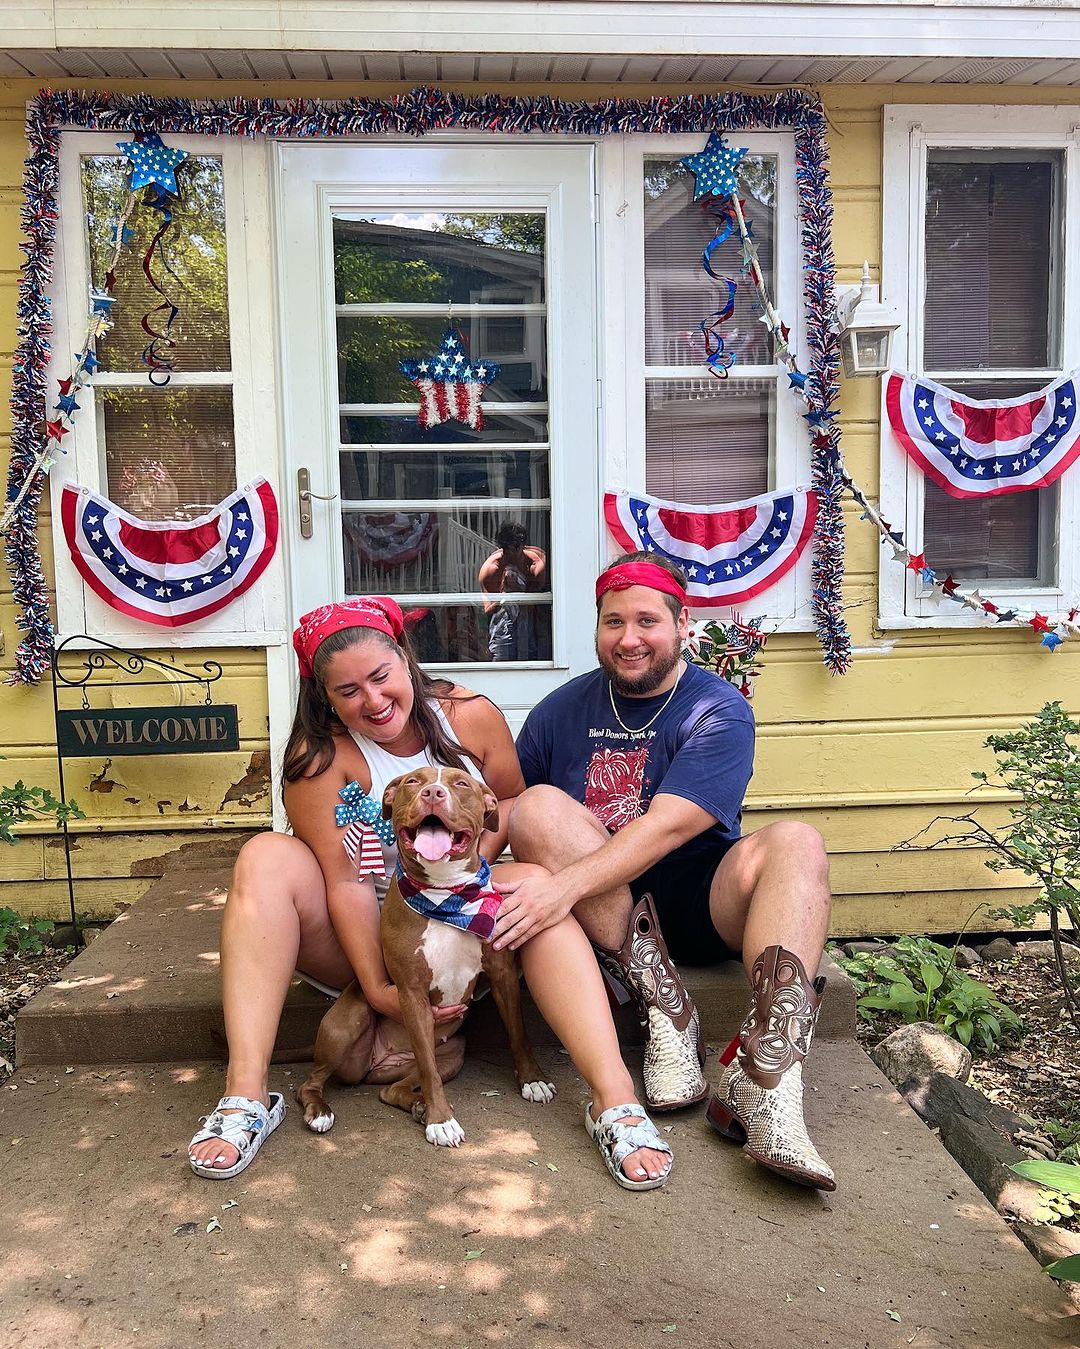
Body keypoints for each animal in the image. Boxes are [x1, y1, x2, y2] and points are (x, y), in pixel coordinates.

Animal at [296, 766, 555, 1143]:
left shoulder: (502, 973)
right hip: (347, 1024)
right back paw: (320, 1111)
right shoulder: (412, 994)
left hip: (452, 1053)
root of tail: (378, 1064)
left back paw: (415, 1106)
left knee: (391, 1090)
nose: (433, 793)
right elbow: (430, 1074)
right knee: (311, 1082)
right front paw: (440, 1120)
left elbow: (518, 1031)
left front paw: (532, 1079)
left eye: (461, 783)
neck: (446, 894)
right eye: (412, 782)